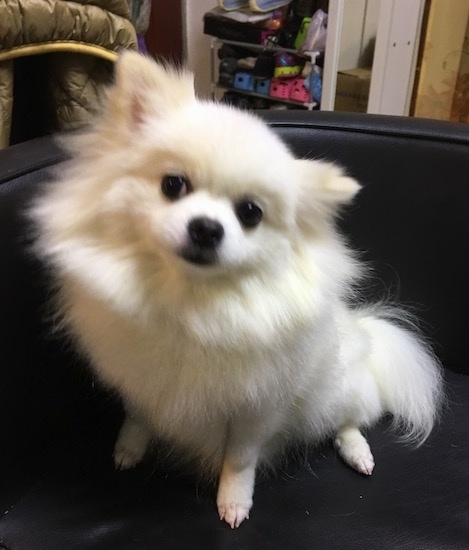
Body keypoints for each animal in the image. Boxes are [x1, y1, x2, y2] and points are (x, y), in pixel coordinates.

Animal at [33, 52, 442, 532]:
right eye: (173, 184)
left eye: (250, 213)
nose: (207, 228)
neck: (191, 301)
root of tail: (363, 334)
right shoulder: (140, 379)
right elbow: (137, 416)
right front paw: (129, 447)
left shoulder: (255, 408)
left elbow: (240, 459)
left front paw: (233, 501)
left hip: (333, 393)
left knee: (349, 419)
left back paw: (357, 452)